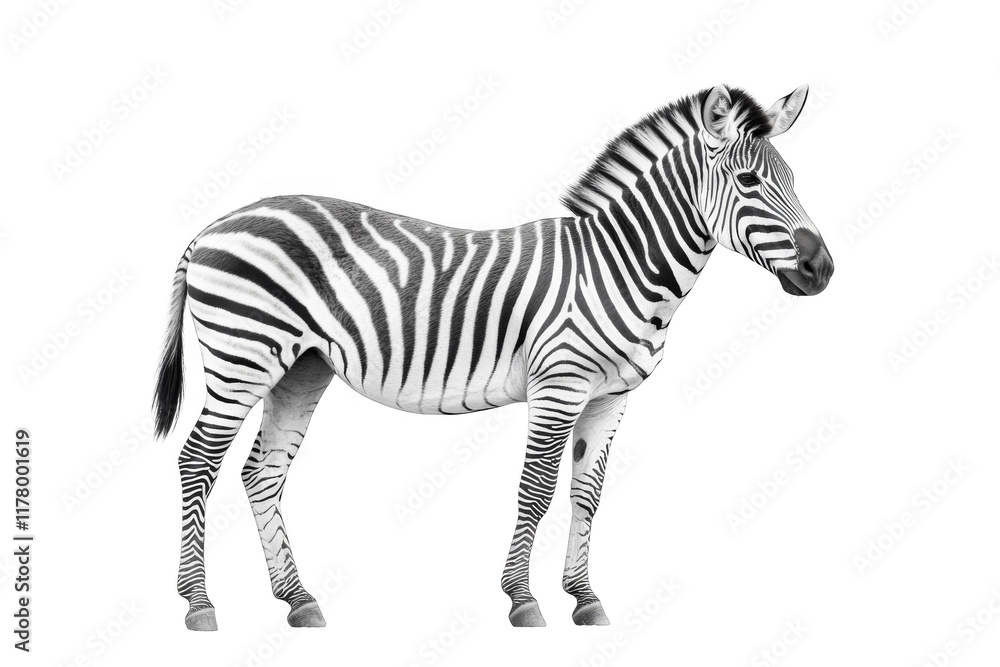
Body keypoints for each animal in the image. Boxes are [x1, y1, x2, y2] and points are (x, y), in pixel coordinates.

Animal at [153, 84, 834, 631]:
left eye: (794, 180)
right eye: (749, 183)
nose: (822, 269)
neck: (618, 266)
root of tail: (214, 224)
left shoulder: (610, 397)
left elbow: (587, 493)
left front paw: (585, 599)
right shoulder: (559, 384)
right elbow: (537, 488)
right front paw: (523, 601)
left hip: (300, 368)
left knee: (260, 474)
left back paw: (298, 600)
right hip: (244, 355)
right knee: (197, 462)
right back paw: (199, 604)